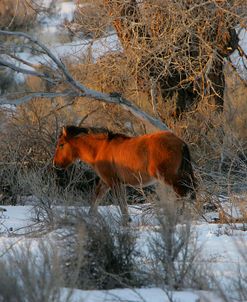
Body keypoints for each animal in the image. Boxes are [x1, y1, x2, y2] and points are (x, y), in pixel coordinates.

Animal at [53, 126, 197, 221]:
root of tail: (181, 143)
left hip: (170, 178)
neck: (100, 149)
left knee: (182, 194)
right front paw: (90, 216)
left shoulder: (113, 182)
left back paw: (177, 217)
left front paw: (126, 221)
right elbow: (97, 197)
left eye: (61, 145)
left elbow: (121, 202)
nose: (55, 164)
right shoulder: (107, 182)